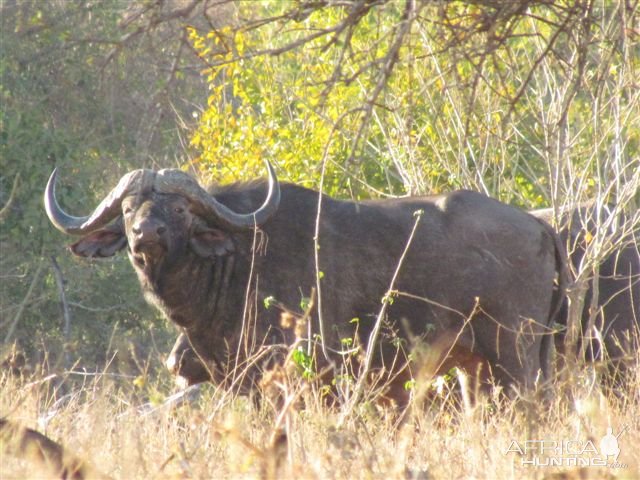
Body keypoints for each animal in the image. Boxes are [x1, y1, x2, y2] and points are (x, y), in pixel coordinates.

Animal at [46, 164, 564, 402]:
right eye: (128, 208)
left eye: (177, 209)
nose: (144, 235)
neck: (239, 263)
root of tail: (538, 225)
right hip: (474, 369)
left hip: (516, 357)